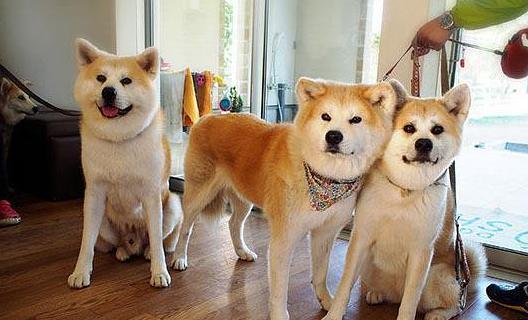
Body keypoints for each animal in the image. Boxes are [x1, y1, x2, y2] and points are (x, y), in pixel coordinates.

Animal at [67, 38, 183, 288]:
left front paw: (159, 272)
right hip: (104, 223)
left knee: (163, 240)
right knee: (114, 244)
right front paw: (81, 272)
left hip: (172, 206)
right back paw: (123, 250)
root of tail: (134, 241)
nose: (108, 91)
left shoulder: (151, 195)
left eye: (126, 81)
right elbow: (86, 242)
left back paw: (149, 251)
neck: (118, 139)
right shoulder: (94, 195)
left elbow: (157, 241)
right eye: (101, 78)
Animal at [169, 78, 404, 320]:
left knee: (234, 224)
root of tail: (208, 118)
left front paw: (327, 302)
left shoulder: (324, 233)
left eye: (356, 119)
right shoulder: (284, 239)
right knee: (186, 227)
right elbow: (280, 289)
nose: (333, 136)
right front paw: (280, 314)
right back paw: (179, 258)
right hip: (199, 194)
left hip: (244, 199)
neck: (325, 178)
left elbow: (320, 275)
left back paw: (242, 251)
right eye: (325, 116)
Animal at [324, 83, 488, 320]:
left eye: (437, 130)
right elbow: (344, 286)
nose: (424, 143)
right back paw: (376, 293)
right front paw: (333, 314)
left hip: (436, 275)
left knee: (455, 304)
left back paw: (439, 313)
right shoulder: (362, 237)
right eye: (409, 128)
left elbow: (410, 300)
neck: (406, 189)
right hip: (369, 267)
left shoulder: (421, 252)